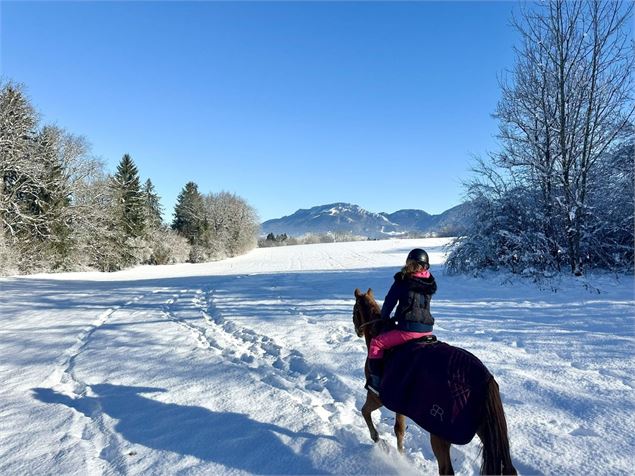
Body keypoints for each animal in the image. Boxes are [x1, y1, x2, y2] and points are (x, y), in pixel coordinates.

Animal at [352, 288, 516, 474]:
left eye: (354, 311)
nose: (357, 330)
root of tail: (486, 379)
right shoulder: (400, 401)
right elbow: (399, 430)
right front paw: (401, 456)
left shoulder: (377, 397)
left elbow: (365, 412)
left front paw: (378, 440)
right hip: (486, 431)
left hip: (439, 434)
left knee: (446, 470)